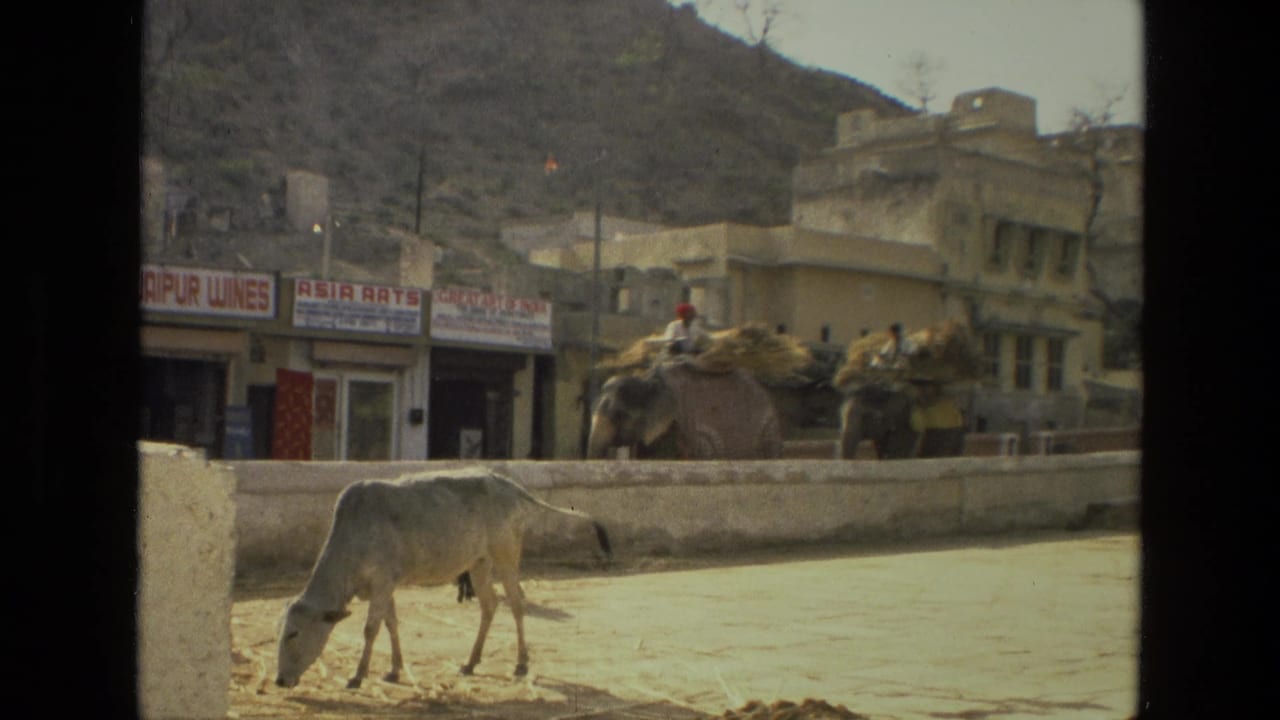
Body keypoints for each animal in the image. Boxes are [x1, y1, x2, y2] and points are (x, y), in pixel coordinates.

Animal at [275, 466, 612, 690]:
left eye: (293, 634)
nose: (279, 680)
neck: (353, 535)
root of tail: (507, 483)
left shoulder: (382, 582)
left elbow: (371, 629)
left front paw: (357, 676)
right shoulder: (386, 584)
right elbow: (391, 624)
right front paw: (394, 670)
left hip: (506, 556)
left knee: (516, 603)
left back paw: (521, 663)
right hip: (479, 564)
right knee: (489, 605)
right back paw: (471, 662)